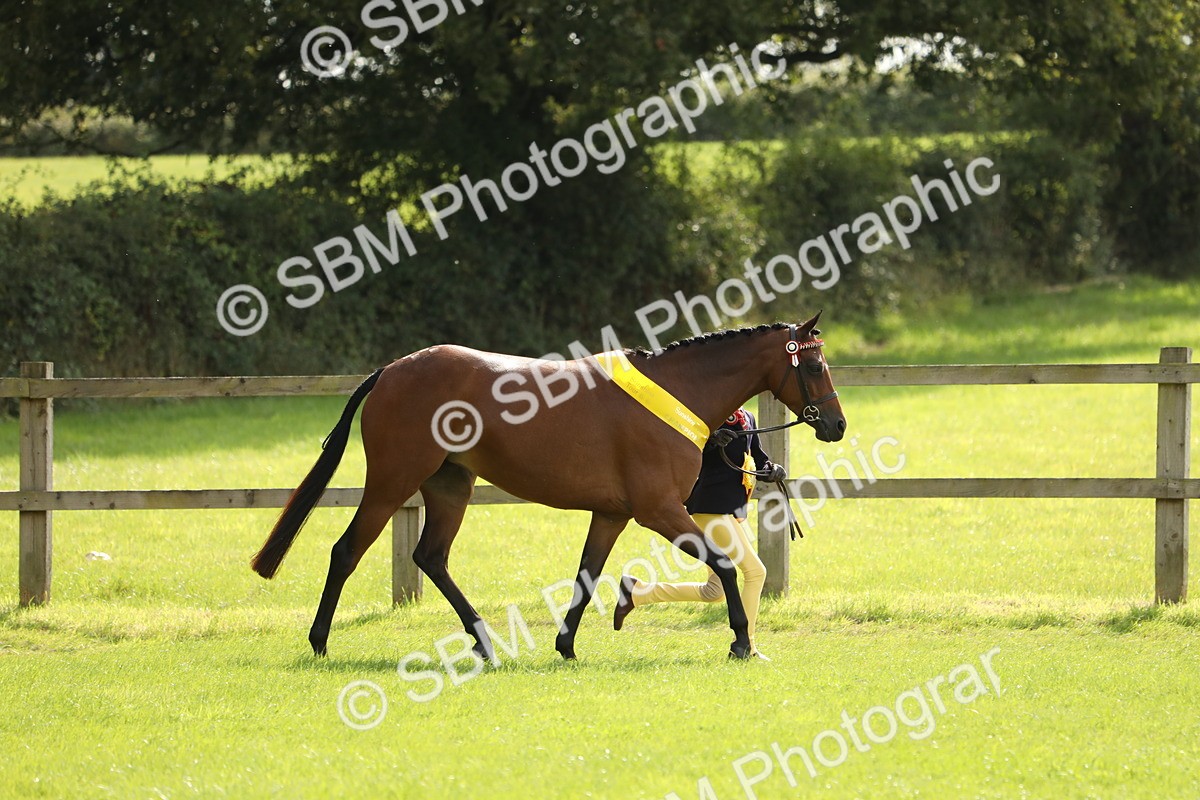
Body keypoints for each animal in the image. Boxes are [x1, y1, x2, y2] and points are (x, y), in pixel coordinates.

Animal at [251, 311, 845, 660]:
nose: (837, 425)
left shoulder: (613, 513)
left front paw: (566, 644)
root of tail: (392, 370)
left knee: (431, 557)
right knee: (346, 551)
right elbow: (722, 566)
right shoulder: (658, 510)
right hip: (393, 482)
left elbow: (587, 574)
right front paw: (742, 639)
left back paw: (484, 641)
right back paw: (320, 641)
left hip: (451, 486)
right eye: (815, 365)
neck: (678, 390)